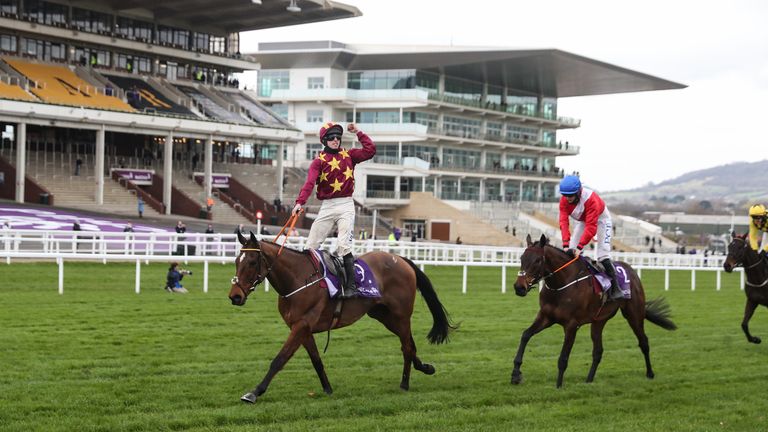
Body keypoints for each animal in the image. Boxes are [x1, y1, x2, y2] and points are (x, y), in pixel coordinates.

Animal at [228, 231, 456, 404]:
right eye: (237, 260)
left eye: (252, 261)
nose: (235, 296)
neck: (298, 279)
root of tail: (401, 260)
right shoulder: (302, 328)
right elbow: (316, 360)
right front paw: (328, 389)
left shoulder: (302, 324)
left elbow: (279, 359)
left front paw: (254, 392)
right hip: (384, 316)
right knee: (409, 344)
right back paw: (425, 367)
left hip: (400, 315)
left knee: (407, 346)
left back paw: (405, 384)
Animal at [512, 236, 676, 388]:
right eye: (521, 258)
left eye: (538, 260)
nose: (519, 287)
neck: (560, 285)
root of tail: (631, 270)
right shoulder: (546, 317)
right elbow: (525, 335)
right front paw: (515, 374)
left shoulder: (571, 325)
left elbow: (563, 358)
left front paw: (558, 386)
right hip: (599, 321)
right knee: (598, 351)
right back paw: (589, 380)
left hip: (634, 314)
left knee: (644, 342)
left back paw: (650, 373)